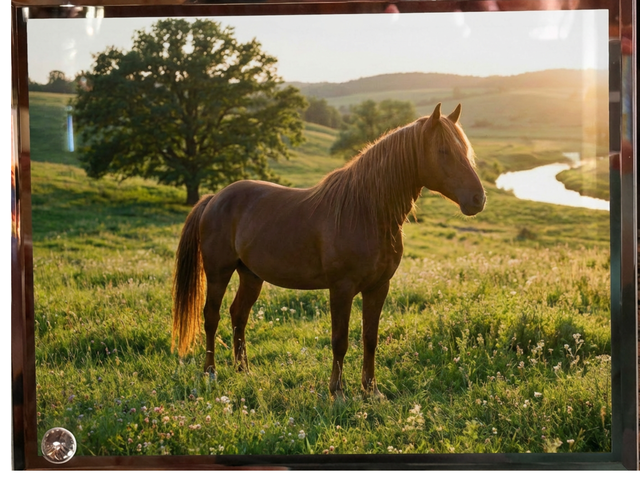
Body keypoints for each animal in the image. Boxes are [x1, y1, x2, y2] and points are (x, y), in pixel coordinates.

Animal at [172, 103, 486, 399]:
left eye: (465, 149)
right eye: (443, 151)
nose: (478, 199)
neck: (365, 212)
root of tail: (215, 198)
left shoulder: (378, 287)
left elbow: (370, 338)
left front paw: (371, 390)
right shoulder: (341, 289)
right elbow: (340, 340)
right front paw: (338, 391)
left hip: (251, 275)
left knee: (239, 315)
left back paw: (243, 370)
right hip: (218, 272)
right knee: (211, 316)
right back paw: (210, 372)